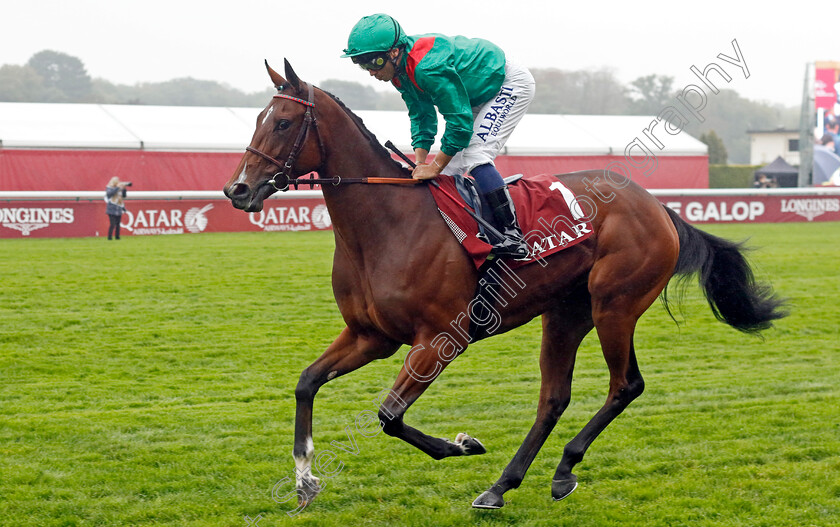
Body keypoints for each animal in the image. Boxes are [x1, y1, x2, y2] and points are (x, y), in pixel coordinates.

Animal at [225, 62, 788, 512]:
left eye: (282, 122)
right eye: (256, 120)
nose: (238, 189)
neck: (387, 224)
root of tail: (658, 206)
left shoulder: (439, 339)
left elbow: (389, 416)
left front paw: (462, 444)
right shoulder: (371, 336)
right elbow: (306, 383)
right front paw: (305, 481)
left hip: (616, 305)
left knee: (625, 385)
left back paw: (561, 469)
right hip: (565, 314)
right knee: (553, 398)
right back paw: (502, 487)